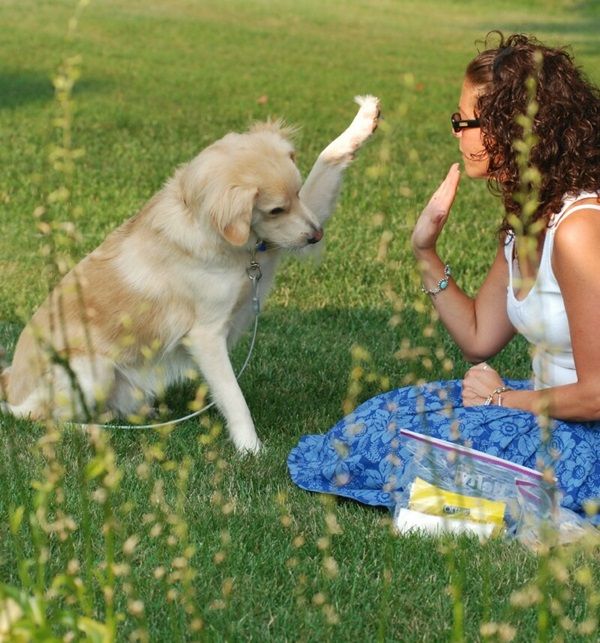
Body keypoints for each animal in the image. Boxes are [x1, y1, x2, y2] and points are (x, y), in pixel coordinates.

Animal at [1, 98, 380, 456]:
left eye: (298, 194)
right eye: (275, 209)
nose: (317, 236)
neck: (228, 240)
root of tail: (10, 386)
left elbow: (327, 158)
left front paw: (363, 122)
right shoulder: (206, 337)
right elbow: (234, 398)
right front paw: (251, 449)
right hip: (92, 367)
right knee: (43, 419)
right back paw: (93, 430)